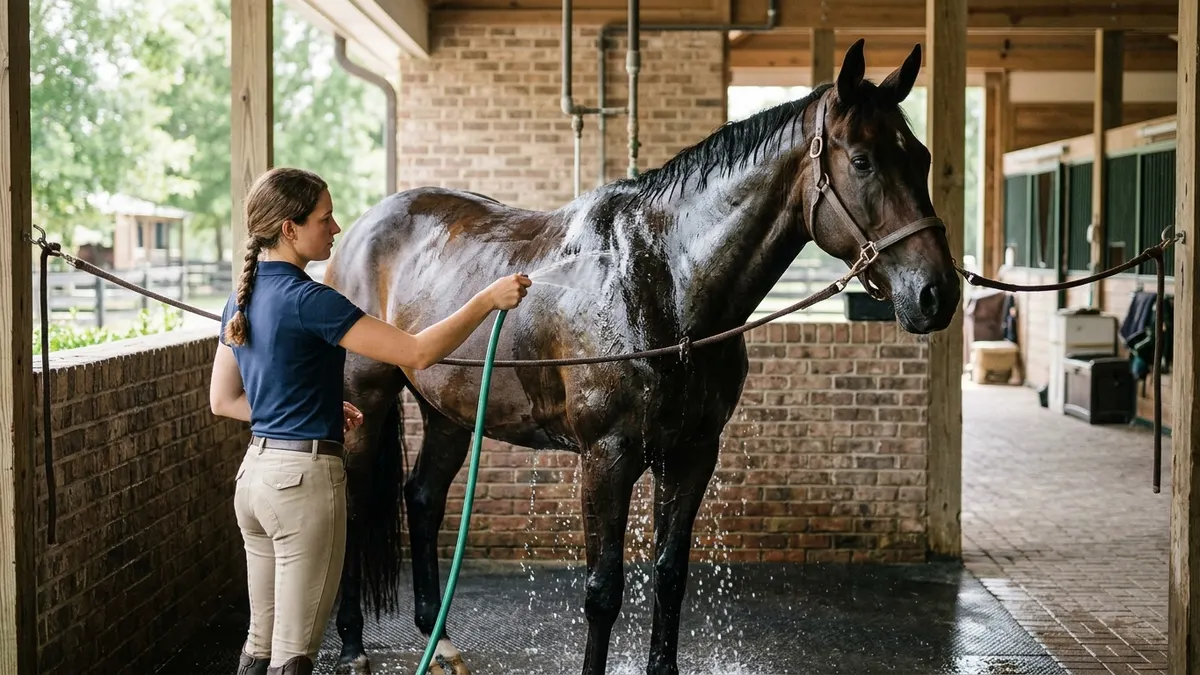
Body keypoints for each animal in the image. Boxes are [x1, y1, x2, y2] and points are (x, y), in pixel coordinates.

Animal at [323, 39, 959, 675]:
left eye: (923, 157)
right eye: (863, 161)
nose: (938, 293)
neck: (663, 283)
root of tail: (359, 230)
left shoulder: (692, 453)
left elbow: (670, 575)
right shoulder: (607, 457)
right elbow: (603, 591)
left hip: (451, 412)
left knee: (423, 499)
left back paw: (441, 642)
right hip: (365, 403)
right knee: (351, 506)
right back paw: (353, 643)